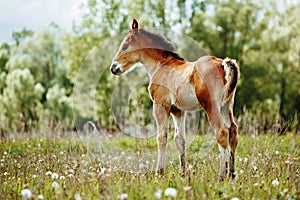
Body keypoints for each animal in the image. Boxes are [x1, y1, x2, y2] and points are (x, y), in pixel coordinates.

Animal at [109, 19, 239, 180]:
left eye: (125, 46)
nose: (113, 68)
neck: (161, 65)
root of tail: (222, 63)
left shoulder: (160, 105)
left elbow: (162, 137)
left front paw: (159, 172)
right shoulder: (177, 110)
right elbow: (180, 139)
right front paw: (182, 173)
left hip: (211, 106)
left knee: (222, 132)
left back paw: (221, 176)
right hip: (226, 106)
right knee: (233, 132)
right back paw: (232, 174)